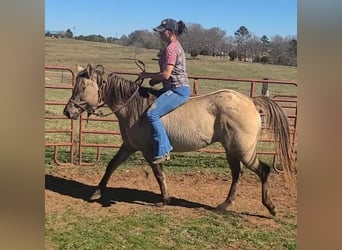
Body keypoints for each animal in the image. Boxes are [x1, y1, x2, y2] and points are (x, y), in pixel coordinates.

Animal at [62, 63, 294, 216]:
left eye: (82, 88)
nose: (67, 111)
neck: (135, 108)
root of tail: (251, 101)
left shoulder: (149, 150)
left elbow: (159, 174)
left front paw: (164, 200)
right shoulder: (129, 146)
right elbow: (111, 166)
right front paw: (96, 192)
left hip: (243, 151)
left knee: (263, 171)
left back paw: (270, 207)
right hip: (232, 151)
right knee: (237, 174)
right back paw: (224, 205)